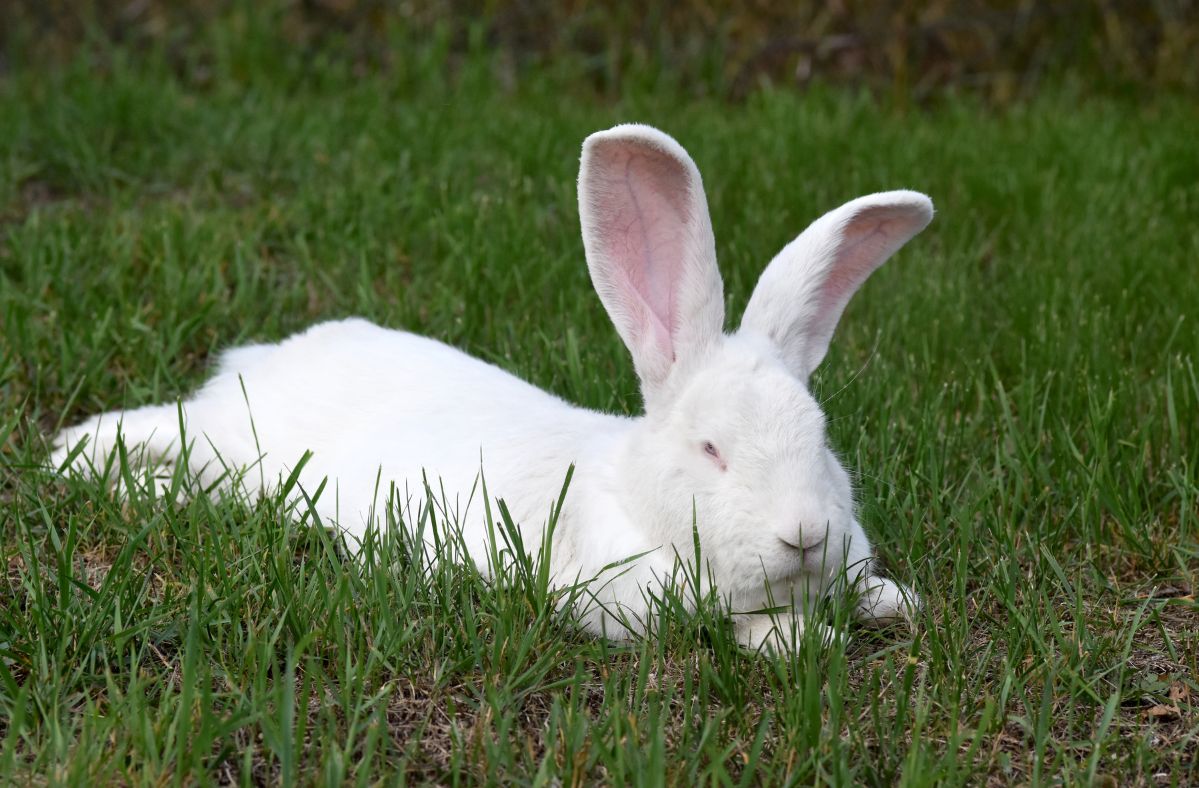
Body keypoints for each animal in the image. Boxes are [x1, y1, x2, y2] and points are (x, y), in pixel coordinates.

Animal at [51, 124, 935, 652]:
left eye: (820, 439)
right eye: (710, 449)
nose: (804, 534)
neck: (627, 493)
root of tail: (256, 365)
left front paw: (894, 603)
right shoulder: (624, 599)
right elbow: (744, 625)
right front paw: (807, 641)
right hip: (234, 445)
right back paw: (81, 462)